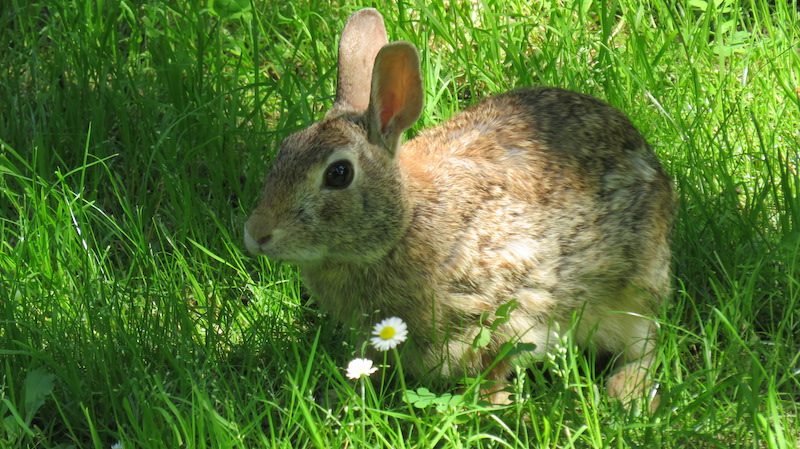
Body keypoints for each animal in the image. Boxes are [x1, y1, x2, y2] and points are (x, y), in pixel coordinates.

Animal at [244, 7, 676, 406]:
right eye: (284, 148)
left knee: (647, 341)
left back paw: (628, 392)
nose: (257, 234)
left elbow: (497, 364)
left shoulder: (509, 308)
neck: (405, 223)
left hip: (633, 289)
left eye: (338, 174)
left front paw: (491, 407)